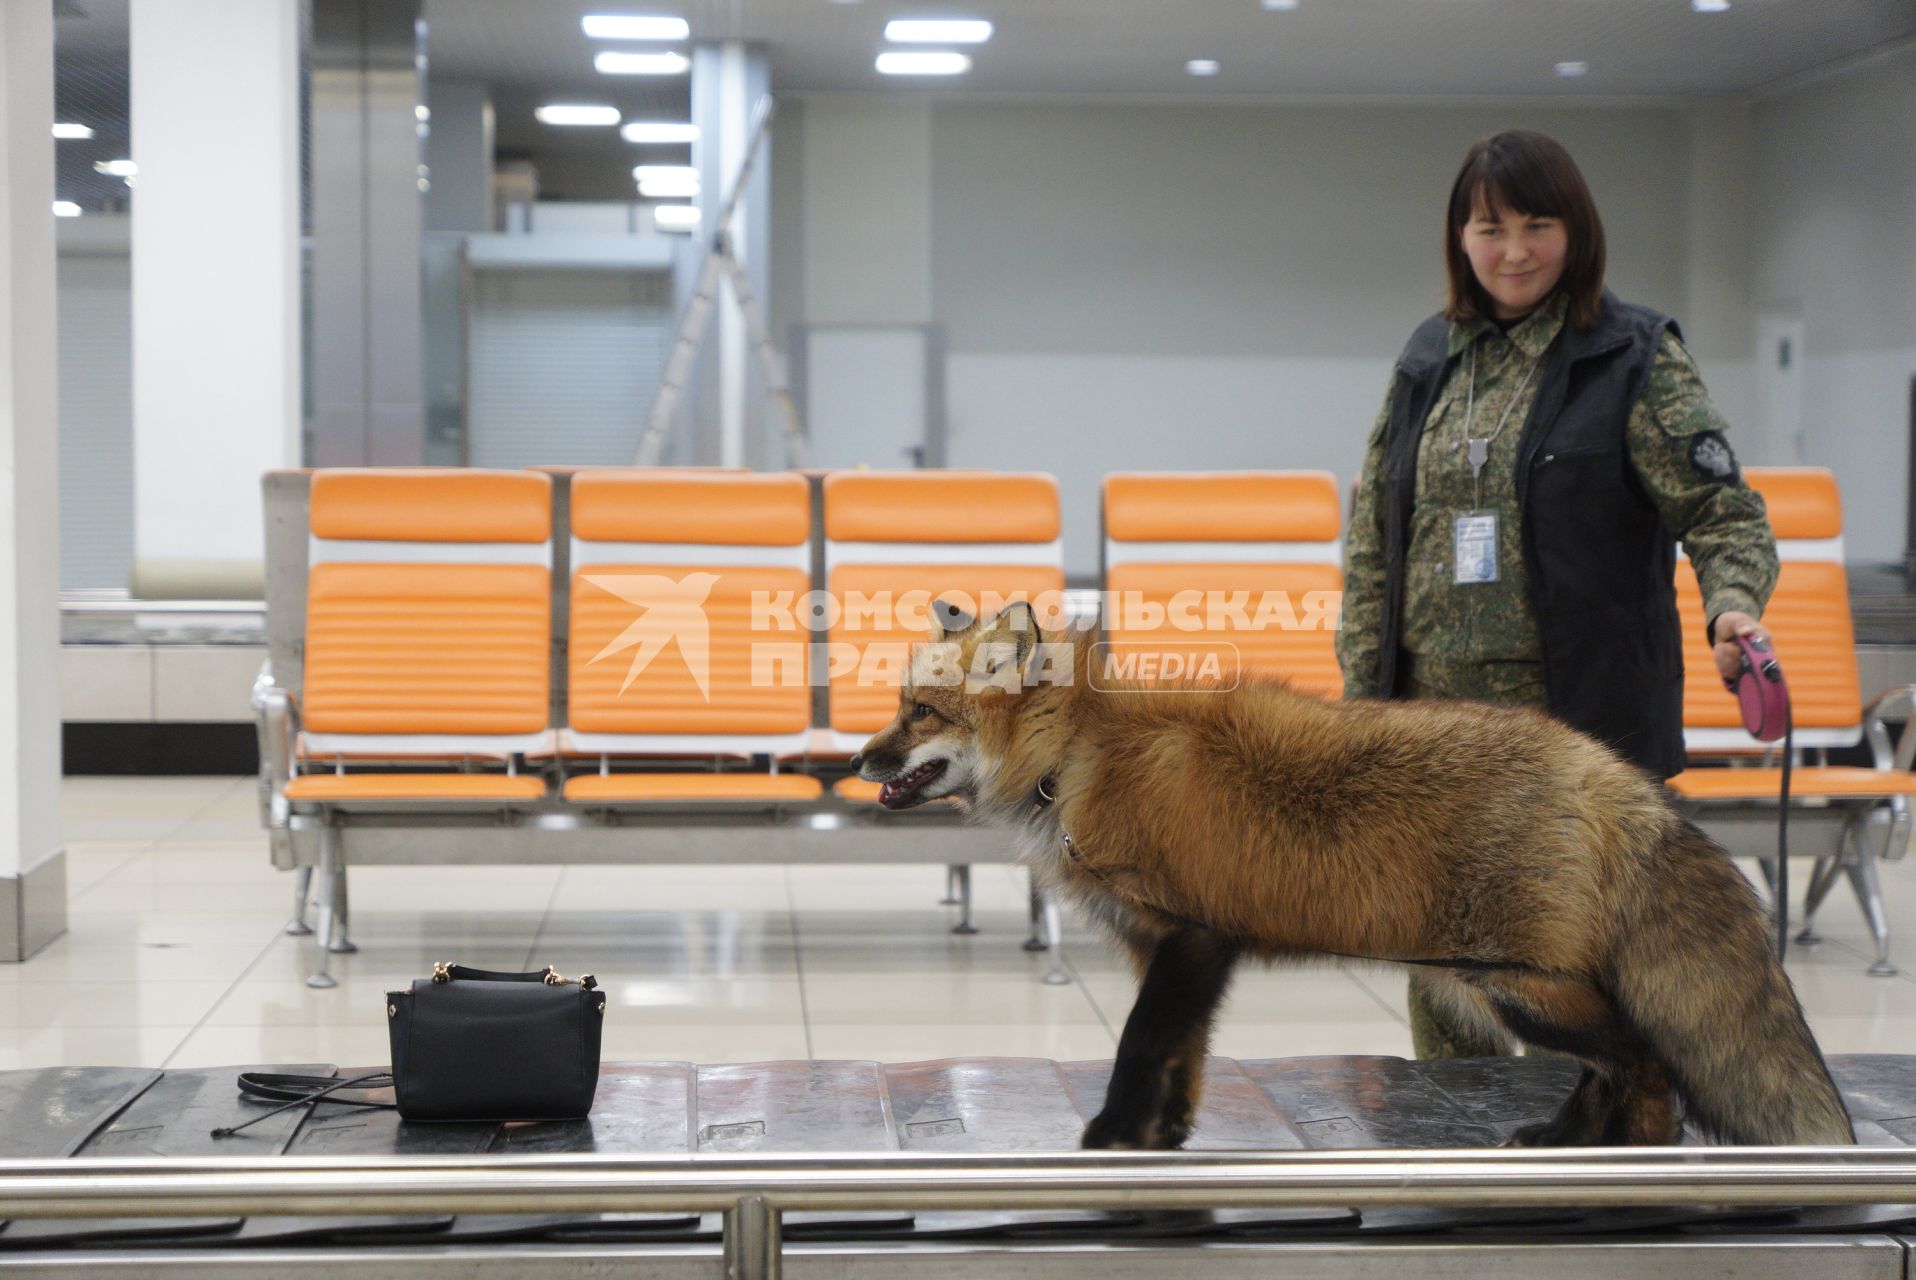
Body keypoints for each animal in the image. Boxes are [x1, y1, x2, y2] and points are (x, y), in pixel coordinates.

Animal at [854, 601, 1854, 1149]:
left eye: (918, 713)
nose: (857, 761)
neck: (1078, 755)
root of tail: (1614, 773)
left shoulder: (1190, 935)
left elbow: (1140, 1046)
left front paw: (1109, 1141)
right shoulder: (1174, 950)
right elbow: (1182, 1058)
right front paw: (1164, 1140)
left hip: (1520, 986)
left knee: (1646, 1063)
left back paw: (1642, 1161)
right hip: (1495, 985)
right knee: (1609, 1069)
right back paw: (1562, 1142)